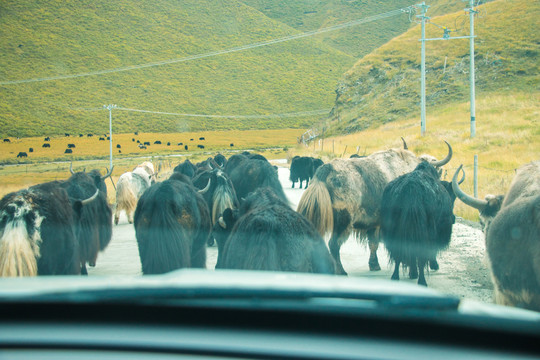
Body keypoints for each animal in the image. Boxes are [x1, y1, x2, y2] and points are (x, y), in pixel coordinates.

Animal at [298, 142, 454, 274]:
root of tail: (326, 170)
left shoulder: (373, 222)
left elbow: (373, 243)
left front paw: (374, 265)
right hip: (343, 221)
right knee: (334, 244)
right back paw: (341, 271)